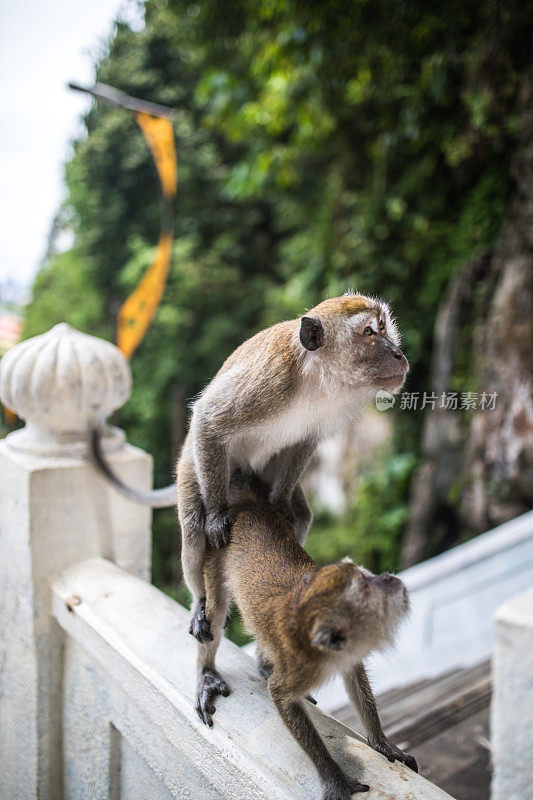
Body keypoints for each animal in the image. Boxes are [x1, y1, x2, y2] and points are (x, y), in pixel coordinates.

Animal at [90, 292, 408, 644]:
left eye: (384, 327)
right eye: (368, 332)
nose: (398, 353)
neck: (316, 376)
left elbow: (304, 443)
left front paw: (279, 503)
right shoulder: (271, 380)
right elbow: (209, 419)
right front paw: (216, 518)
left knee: (302, 514)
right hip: (193, 466)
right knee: (193, 526)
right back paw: (200, 599)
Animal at [195, 476, 416, 800]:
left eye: (366, 576)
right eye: (366, 587)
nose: (388, 578)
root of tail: (247, 506)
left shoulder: (346, 652)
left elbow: (353, 674)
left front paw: (381, 742)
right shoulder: (301, 667)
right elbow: (280, 695)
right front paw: (333, 776)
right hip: (214, 552)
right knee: (215, 611)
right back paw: (206, 673)